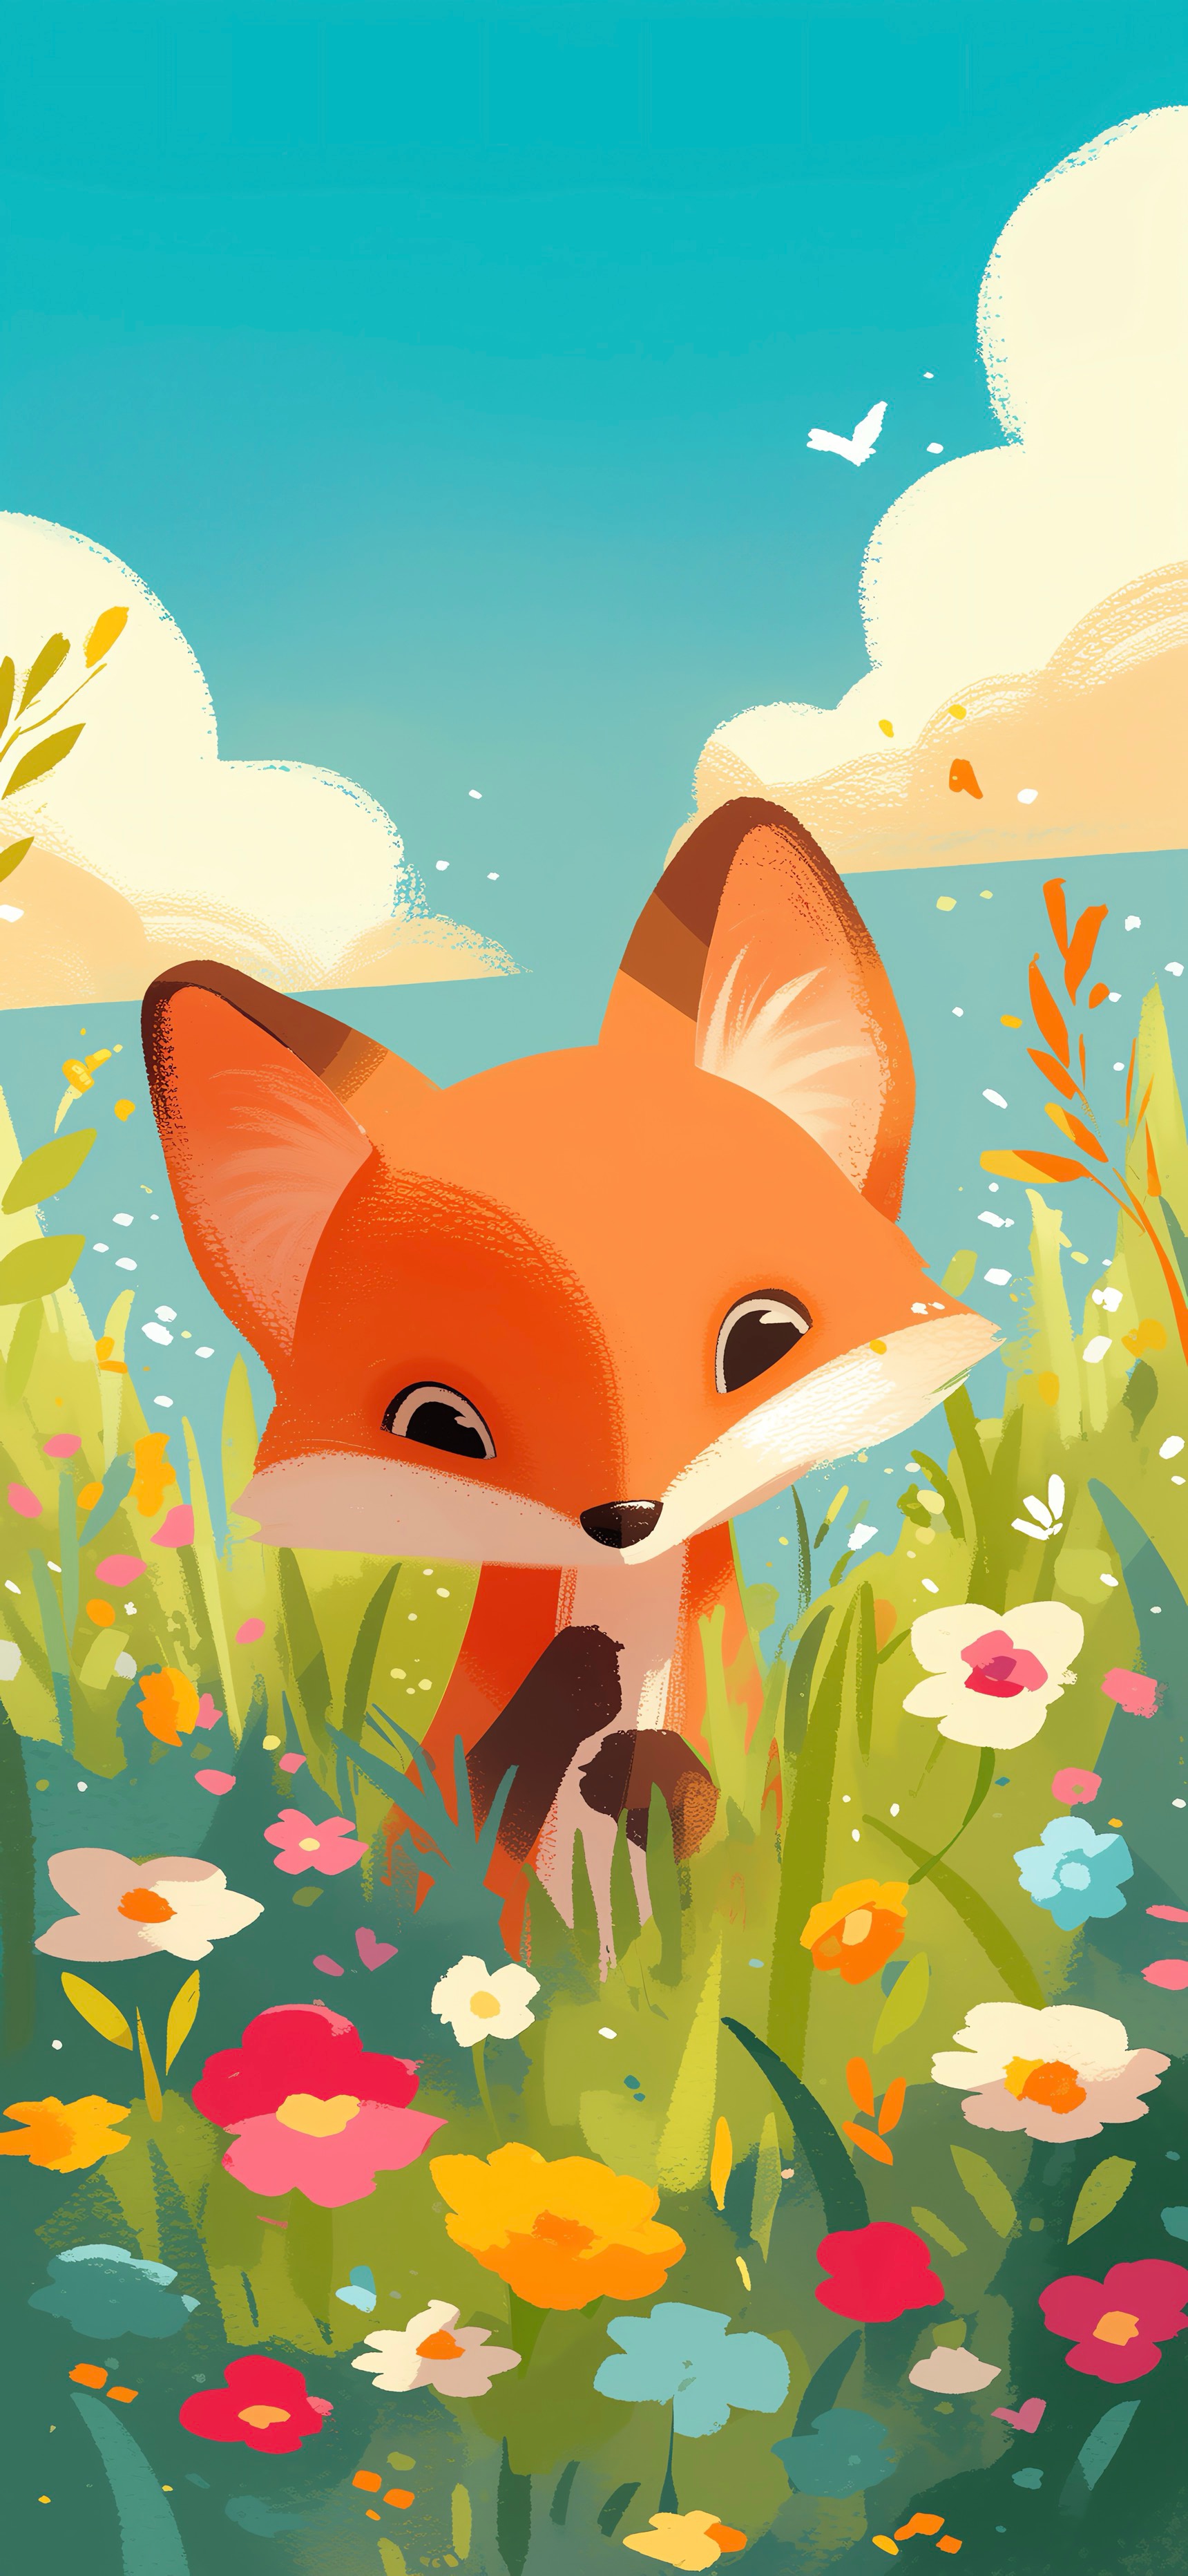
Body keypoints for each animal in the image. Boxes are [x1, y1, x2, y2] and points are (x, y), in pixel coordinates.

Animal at [143, 796, 996, 1933]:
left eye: (763, 1338)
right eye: (439, 1424)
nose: (624, 1519)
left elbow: (717, 1872)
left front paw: (650, 1781)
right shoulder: (440, 1852)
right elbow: (479, 1820)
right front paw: (578, 1695)